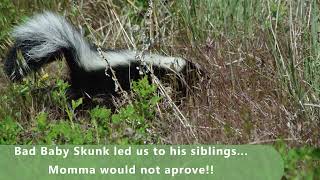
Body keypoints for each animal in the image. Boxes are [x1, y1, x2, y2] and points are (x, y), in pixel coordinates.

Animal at [3, 11, 200, 98]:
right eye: (193, 72)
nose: (204, 76)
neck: (163, 63)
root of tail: (78, 54)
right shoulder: (150, 76)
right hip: (88, 82)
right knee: (78, 92)